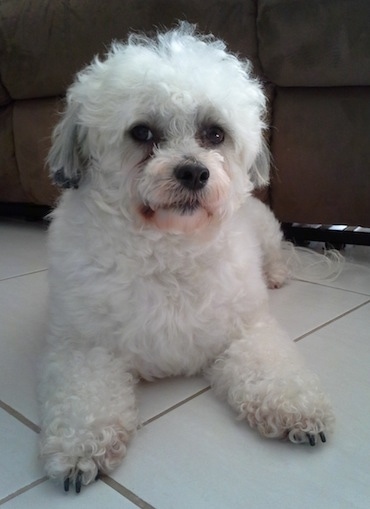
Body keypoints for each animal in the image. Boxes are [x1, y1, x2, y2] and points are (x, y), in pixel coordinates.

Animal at [38, 22, 336, 492]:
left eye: (215, 133)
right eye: (142, 133)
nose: (195, 172)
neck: (171, 248)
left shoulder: (246, 329)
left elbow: (272, 369)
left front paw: (296, 407)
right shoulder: (83, 345)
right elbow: (83, 398)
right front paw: (81, 445)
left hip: (268, 231)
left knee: (277, 256)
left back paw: (276, 274)